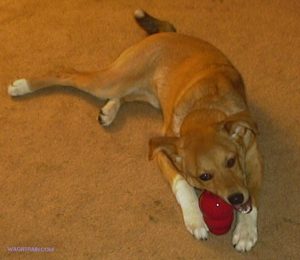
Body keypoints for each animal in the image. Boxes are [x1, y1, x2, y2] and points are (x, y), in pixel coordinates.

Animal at [7, 9, 262, 252]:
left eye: (231, 161)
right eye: (204, 176)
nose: (236, 198)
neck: (206, 105)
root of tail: (167, 33)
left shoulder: (253, 158)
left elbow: (254, 193)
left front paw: (246, 231)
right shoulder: (162, 152)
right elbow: (182, 184)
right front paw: (195, 219)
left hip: (144, 92)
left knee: (122, 96)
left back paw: (108, 110)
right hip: (112, 80)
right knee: (66, 73)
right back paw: (22, 86)